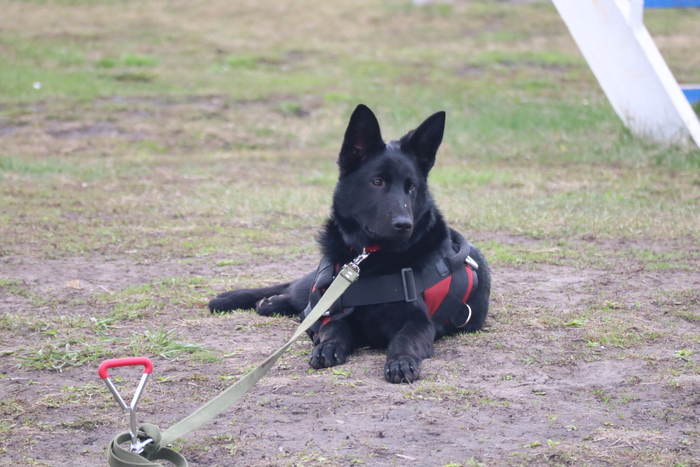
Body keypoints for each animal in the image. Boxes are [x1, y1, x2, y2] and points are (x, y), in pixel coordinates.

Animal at [210, 104, 491, 383]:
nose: (405, 225)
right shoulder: (333, 312)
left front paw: (400, 361)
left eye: (411, 187)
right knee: (296, 291)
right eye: (377, 182)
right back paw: (238, 300)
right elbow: (333, 328)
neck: (369, 258)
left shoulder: (418, 321)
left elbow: (404, 338)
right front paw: (327, 346)